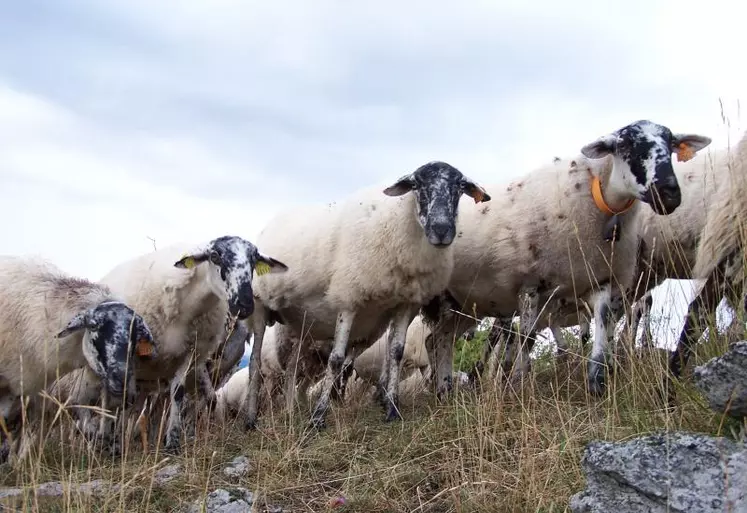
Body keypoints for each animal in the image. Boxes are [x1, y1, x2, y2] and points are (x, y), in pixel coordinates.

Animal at [51, 234, 290, 454]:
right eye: (215, 256)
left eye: (254, 261)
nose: (245, 304)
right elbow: (121, 404)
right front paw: (115, 443)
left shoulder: (187, 355)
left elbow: (179, 394)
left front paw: (172, 442)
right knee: (96, 403)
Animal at [254, 161, 494, 428]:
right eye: (416, 184)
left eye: (461, 186)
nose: (441, 230)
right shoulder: (348, 297)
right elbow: (336, 358)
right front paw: (318, 417)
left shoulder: (405, 303)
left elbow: (395, 352)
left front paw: (392, 409)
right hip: (261, 308)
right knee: (262, 365)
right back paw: (256, 417)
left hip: (305, 327)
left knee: (294, 368)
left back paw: (289, 410)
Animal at [420, 119, 712, 396]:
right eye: (625, 145)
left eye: (671, 144)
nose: (669, 194)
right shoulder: (529, 284)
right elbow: (526, 340)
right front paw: (518, 385)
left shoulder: (599, 279)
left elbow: (601, 329)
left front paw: (597, 384)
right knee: (439, 340)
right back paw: (441, 388)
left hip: (462, 303)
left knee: (438, 340)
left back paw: (443, 391)